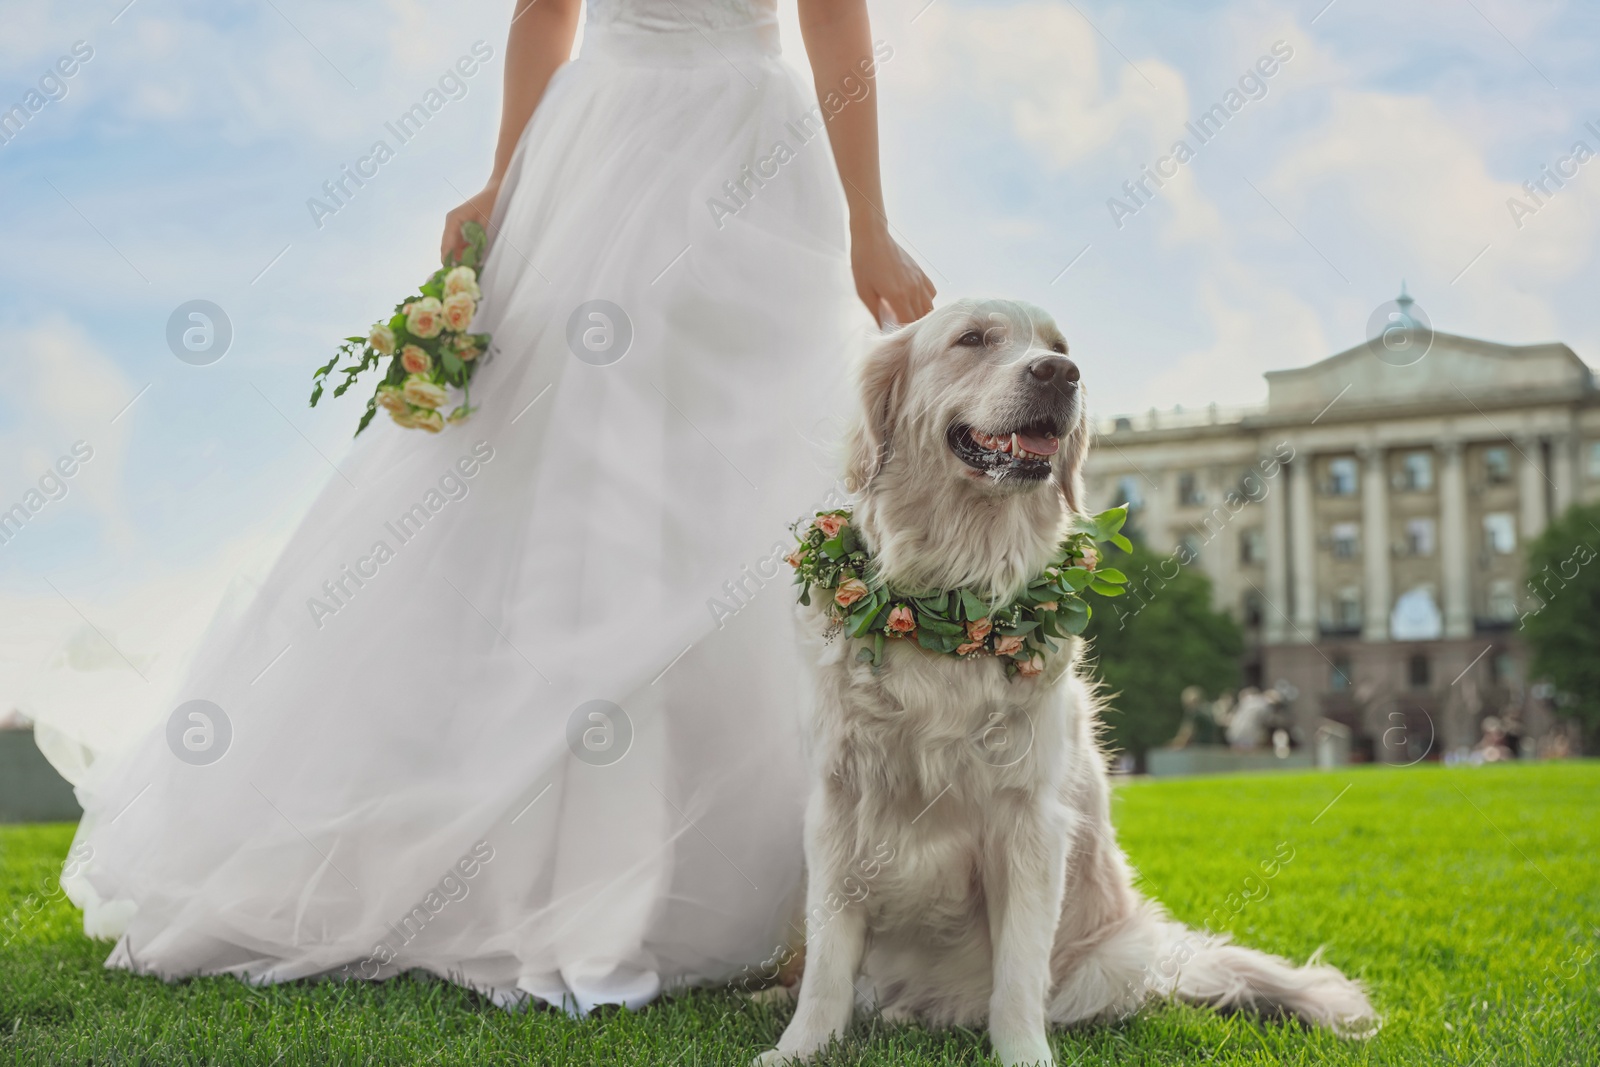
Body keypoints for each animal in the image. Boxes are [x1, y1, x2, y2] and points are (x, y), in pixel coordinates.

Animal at [761, 300, 1376, 1067]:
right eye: (971, 338)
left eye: (1059, 344)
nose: (1060, 373)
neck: (955, 599)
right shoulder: (839, 803)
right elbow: (828, 962)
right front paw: (800, 1046)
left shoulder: (1030, 820)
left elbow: (1020, 972)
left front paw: (1023, 1051)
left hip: (1112, 954)